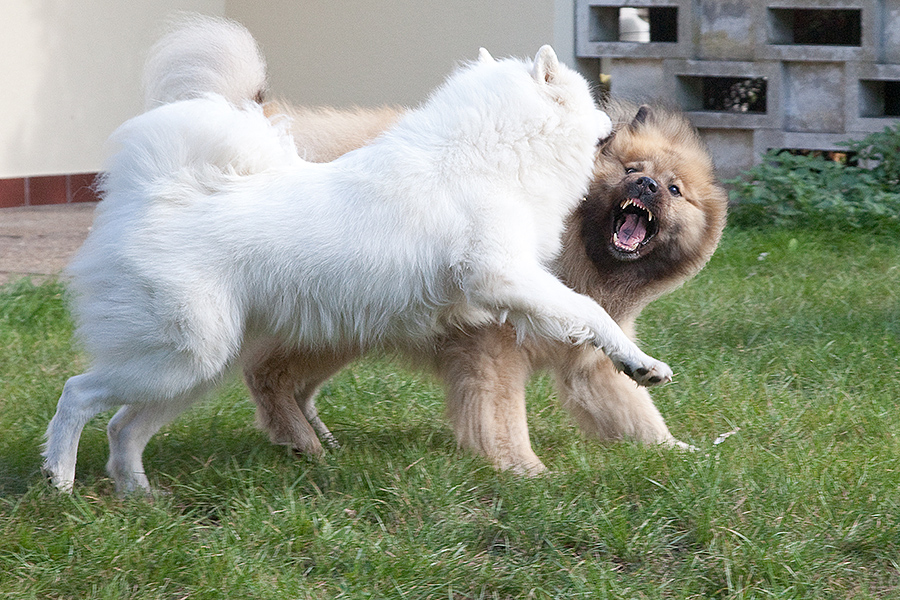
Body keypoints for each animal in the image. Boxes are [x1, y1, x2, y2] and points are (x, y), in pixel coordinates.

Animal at [45, 17, 672, 492]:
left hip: (196, 369)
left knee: (123, 428)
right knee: (78, 395)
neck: (488, 153)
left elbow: (579, 321)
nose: (619, 121)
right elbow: (588, 311)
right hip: (183, 357)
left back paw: (140, 497)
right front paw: (642, 364)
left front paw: (634, 365)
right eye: (590, 98)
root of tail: (157, 194)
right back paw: (61, 479)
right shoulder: (503, 276)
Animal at [244, 97, 724, 474]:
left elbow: (636, 412)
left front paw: (676, 451)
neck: (578, 254)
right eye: (631, 168)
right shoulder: (493, 348)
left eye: (675, 189)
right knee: (265, 374)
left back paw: (317, 438)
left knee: (291, 383)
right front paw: (524, 470)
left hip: (345, 330)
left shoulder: (590, 362)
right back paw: (301, 441)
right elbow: (501, 416)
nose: (645, 184)